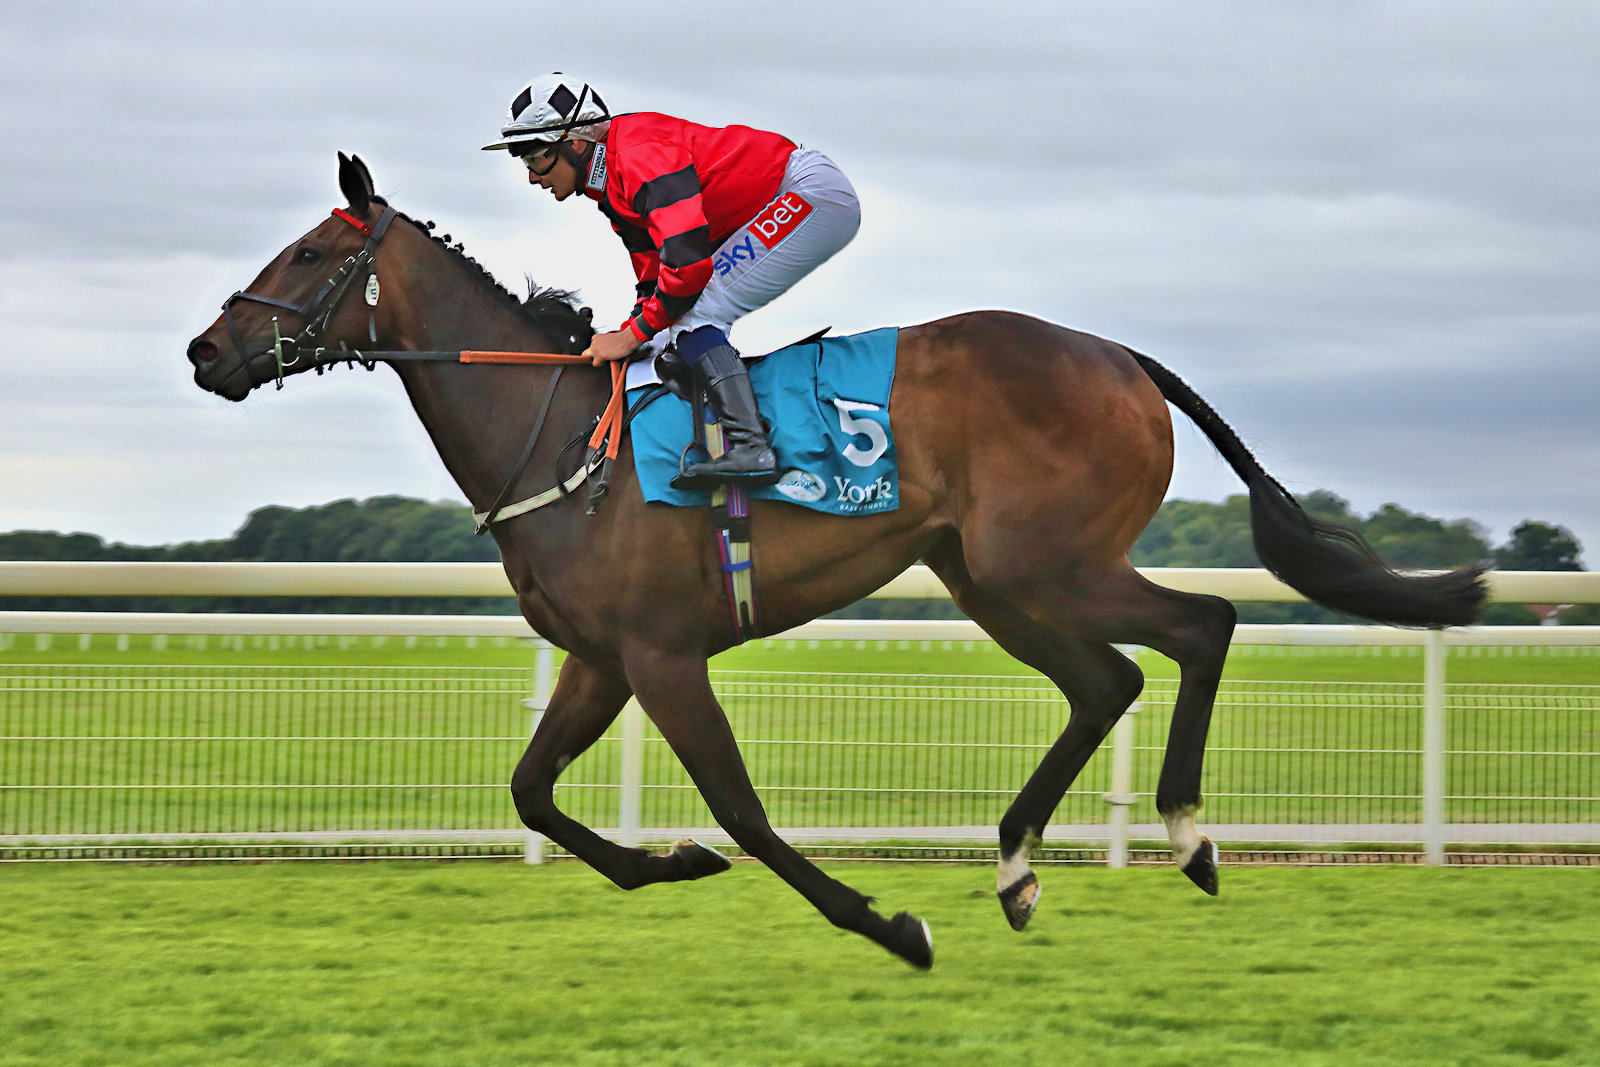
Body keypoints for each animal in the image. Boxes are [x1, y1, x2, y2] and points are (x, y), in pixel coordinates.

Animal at [186, 154, 1485, 968]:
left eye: (307, 252)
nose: (205, 350)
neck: (556, 436)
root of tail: (1119, 354)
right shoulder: (602, 658)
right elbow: (533, 792)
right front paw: (670, 863)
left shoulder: (663, 653)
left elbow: (745, 810)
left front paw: (887, 924)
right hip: (986, 576)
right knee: (1107, 678)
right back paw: (1017, 866)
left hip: (1044, 563)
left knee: (1202, 625)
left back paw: (1187, 835)